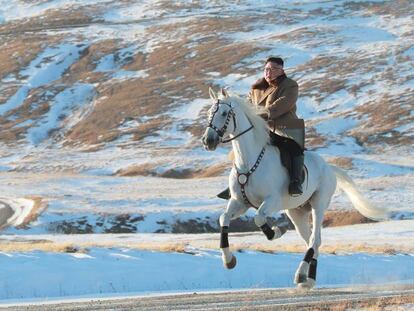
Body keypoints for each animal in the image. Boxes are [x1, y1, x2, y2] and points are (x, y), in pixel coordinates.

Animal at [201, 88, 388, 290]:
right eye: (209, 113)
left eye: (224, 113)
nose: (208, 141)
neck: (249, 162)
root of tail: (329, 167)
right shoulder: (239, 202)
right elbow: (224, 218)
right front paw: (229, 260)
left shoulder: (271, 201)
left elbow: (259, 218)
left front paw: (276, 231)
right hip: (296, 212)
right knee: (312, 242)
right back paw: (308, 279)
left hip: (318, 205)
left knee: (314, 240)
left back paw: (301, 276)